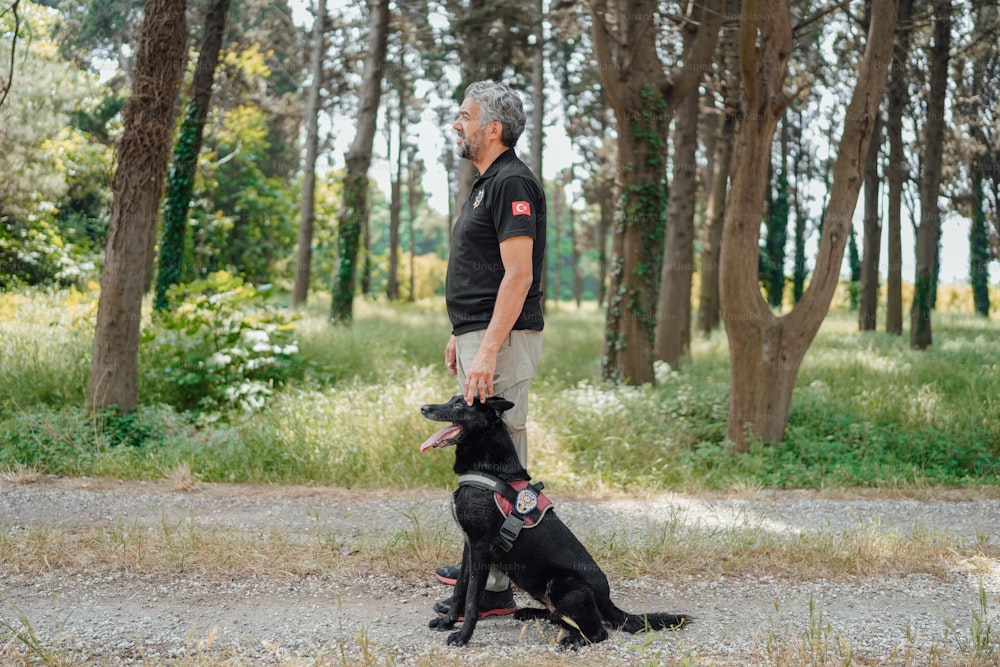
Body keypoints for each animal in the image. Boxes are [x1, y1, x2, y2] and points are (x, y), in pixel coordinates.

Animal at [416, 396, 688, 648]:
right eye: (452, 399)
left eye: (460, 405)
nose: (423, 408)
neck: (490, 471)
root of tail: (607, 600)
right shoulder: (469, 547)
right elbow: (459, 590)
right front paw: (447, 621)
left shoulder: (481, 548)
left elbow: (472, 597)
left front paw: (463, 636)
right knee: (561, 617)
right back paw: (531, 613)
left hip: (563, 585)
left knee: (598, 631)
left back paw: (573, 640)